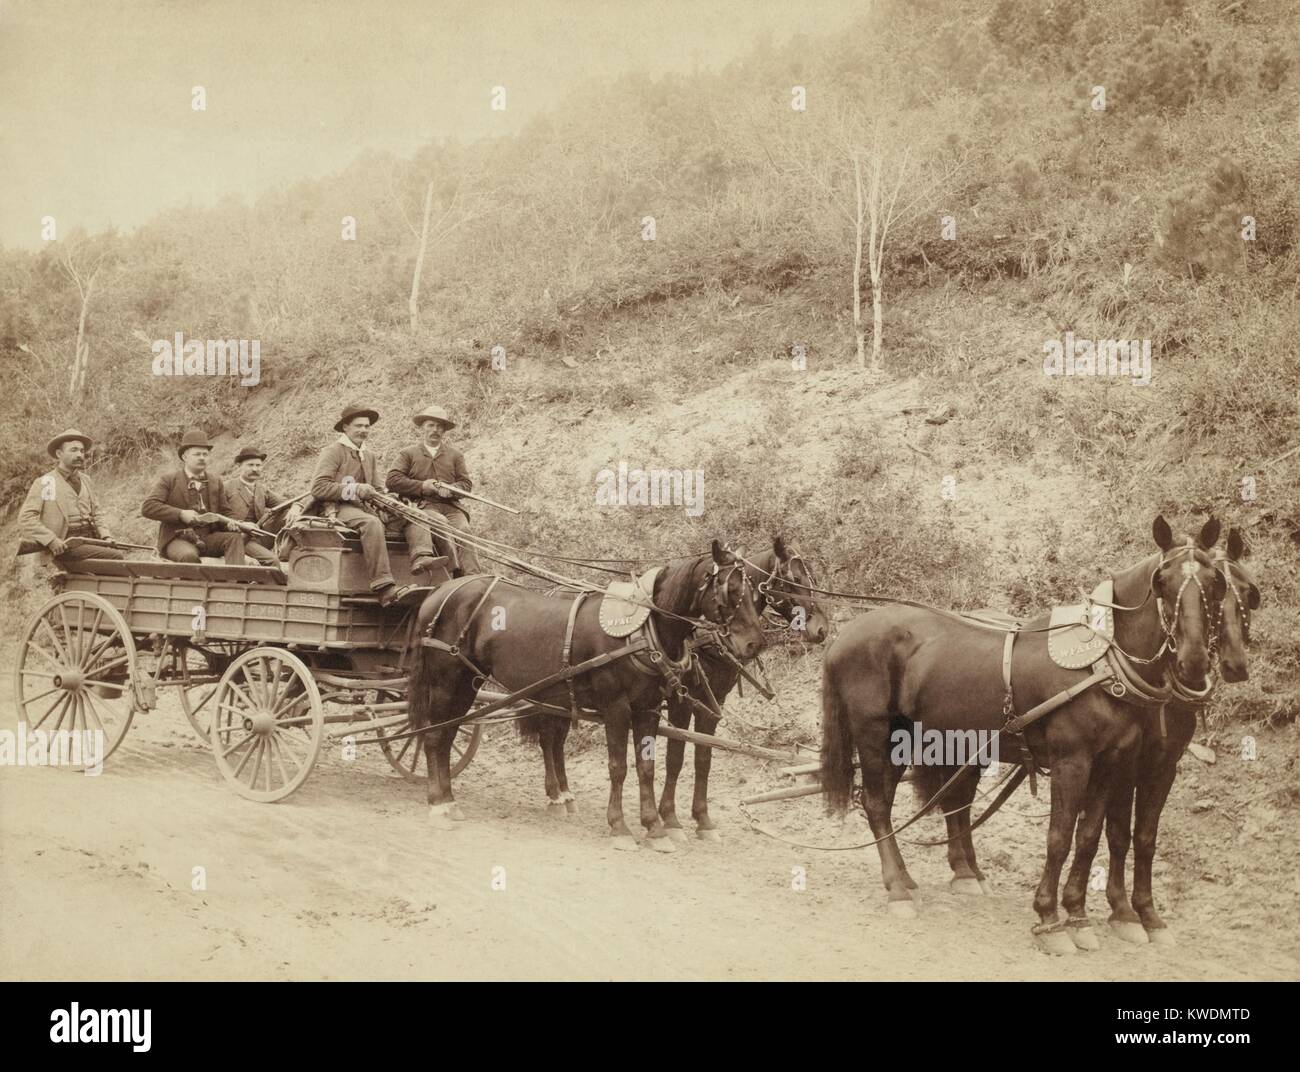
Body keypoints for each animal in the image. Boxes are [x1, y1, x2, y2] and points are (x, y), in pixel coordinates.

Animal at [410, 540, 764, 847]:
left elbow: (648, 766)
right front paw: (620, 827)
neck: (641, 631)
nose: (754, 643)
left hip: (466, 684)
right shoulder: (617, 708)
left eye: (755, 592)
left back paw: (449, 799)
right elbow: (619, 766)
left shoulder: (648, 708)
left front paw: (654, 827)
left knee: (449, 735)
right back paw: (438, 804)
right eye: (732, 590)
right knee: (434, 737)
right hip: (445, 682)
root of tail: (438, 594)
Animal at [660, 532, 832, 836]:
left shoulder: (713, 704)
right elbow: (675, 757)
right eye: (794, 579)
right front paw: (669, 816)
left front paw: (702, 818)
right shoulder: (681, 703)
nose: (821, 629)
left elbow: (703, 758)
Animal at [816, 514, 1222, 951]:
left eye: (1215, 581)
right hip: (877, 734)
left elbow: (1089, 837)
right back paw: (897, 890)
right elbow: (1059, 837)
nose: (1194, 660)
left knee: (906, 803)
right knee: (877, 804)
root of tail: (844, 634)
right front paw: (1049, 918)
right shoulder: (1072, 762)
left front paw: (1077, 915)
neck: (1101, 666)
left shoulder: (1111, 764)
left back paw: (913, 879)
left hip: (914, 738)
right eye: (1162, 581)